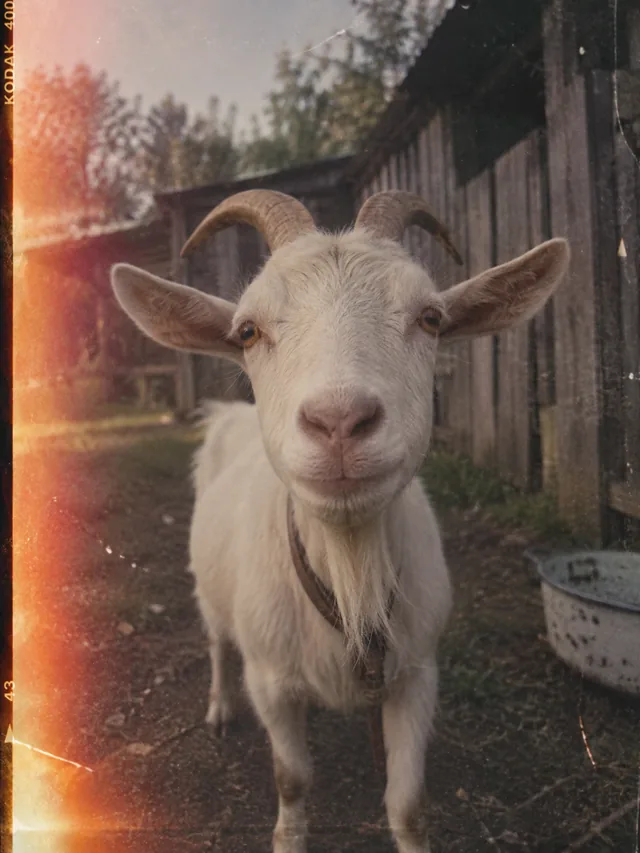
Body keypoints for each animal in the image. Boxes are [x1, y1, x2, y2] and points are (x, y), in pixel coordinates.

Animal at [111, 190, 569, 853]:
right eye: (247, 330)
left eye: (431, 318)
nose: (340, 421)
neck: (349, 567)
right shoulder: (270, 680)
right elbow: (292, 777)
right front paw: (287, 838)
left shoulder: (416, 674)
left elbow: (408, 803)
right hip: (209, 589)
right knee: (217, 641)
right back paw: (220, 708)